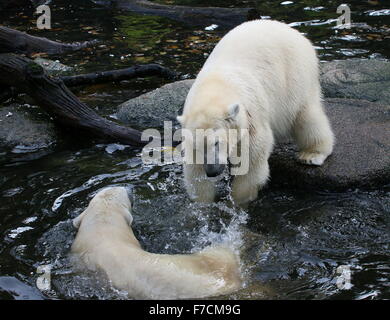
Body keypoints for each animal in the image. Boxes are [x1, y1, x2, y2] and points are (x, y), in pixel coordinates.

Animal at [178, 20, 334, 205]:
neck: (216, 85)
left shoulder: (251, 113)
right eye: (197, 145)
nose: (212, 171)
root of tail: (292, 30)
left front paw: (239, 200)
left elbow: (252, 156)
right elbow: (194, 168)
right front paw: (203, 204)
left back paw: (312, 154)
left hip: (295, 77)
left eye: (216, 142)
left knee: (305, 116)